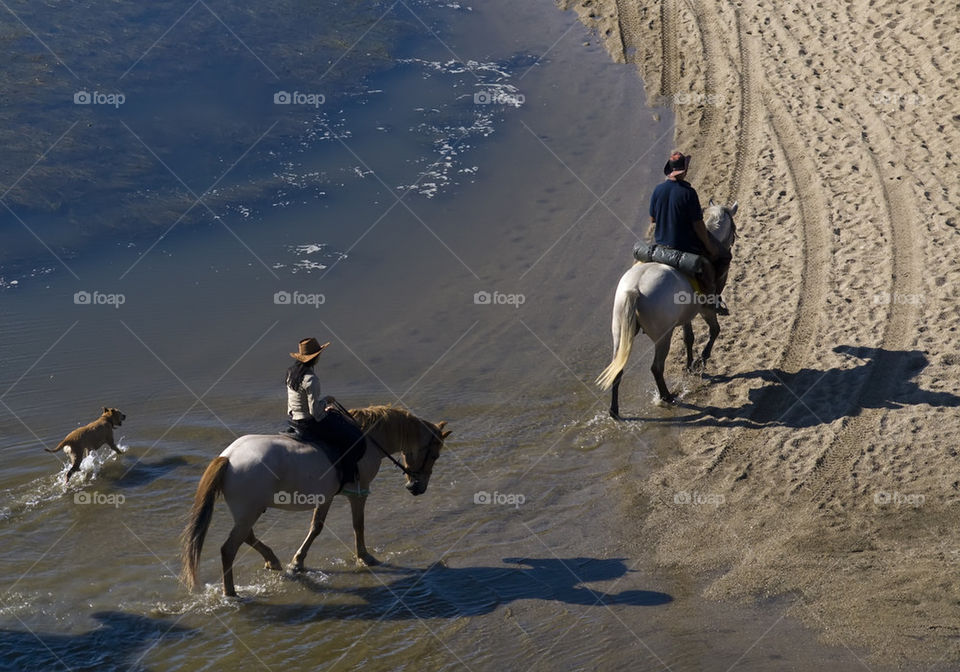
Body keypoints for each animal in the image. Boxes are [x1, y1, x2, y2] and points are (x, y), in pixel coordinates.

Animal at [182, 406, 452, 596]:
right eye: (435, 455)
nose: (417, 488)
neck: (367, 438)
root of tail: (228, 457)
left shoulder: (328, 496)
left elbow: (316, 527)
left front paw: (297, 563)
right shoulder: (359, 491)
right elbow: (357, 525)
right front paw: (365, 557)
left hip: (248, 511)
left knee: (246, 536)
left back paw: (272, 561)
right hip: (249, 511)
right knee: (229, 548)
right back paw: (232, 594)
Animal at [596, 202, 740, 418]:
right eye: (734, 228)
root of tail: (634, 289)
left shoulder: (686, 315)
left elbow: (689, 338)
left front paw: (690, 365)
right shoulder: (705, 309)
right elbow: (715, 330)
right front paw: (701, 361)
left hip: (619, 333)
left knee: (617, 369)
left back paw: (614, 410)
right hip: (663, 336)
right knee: (656, 368)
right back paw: (667, 396)